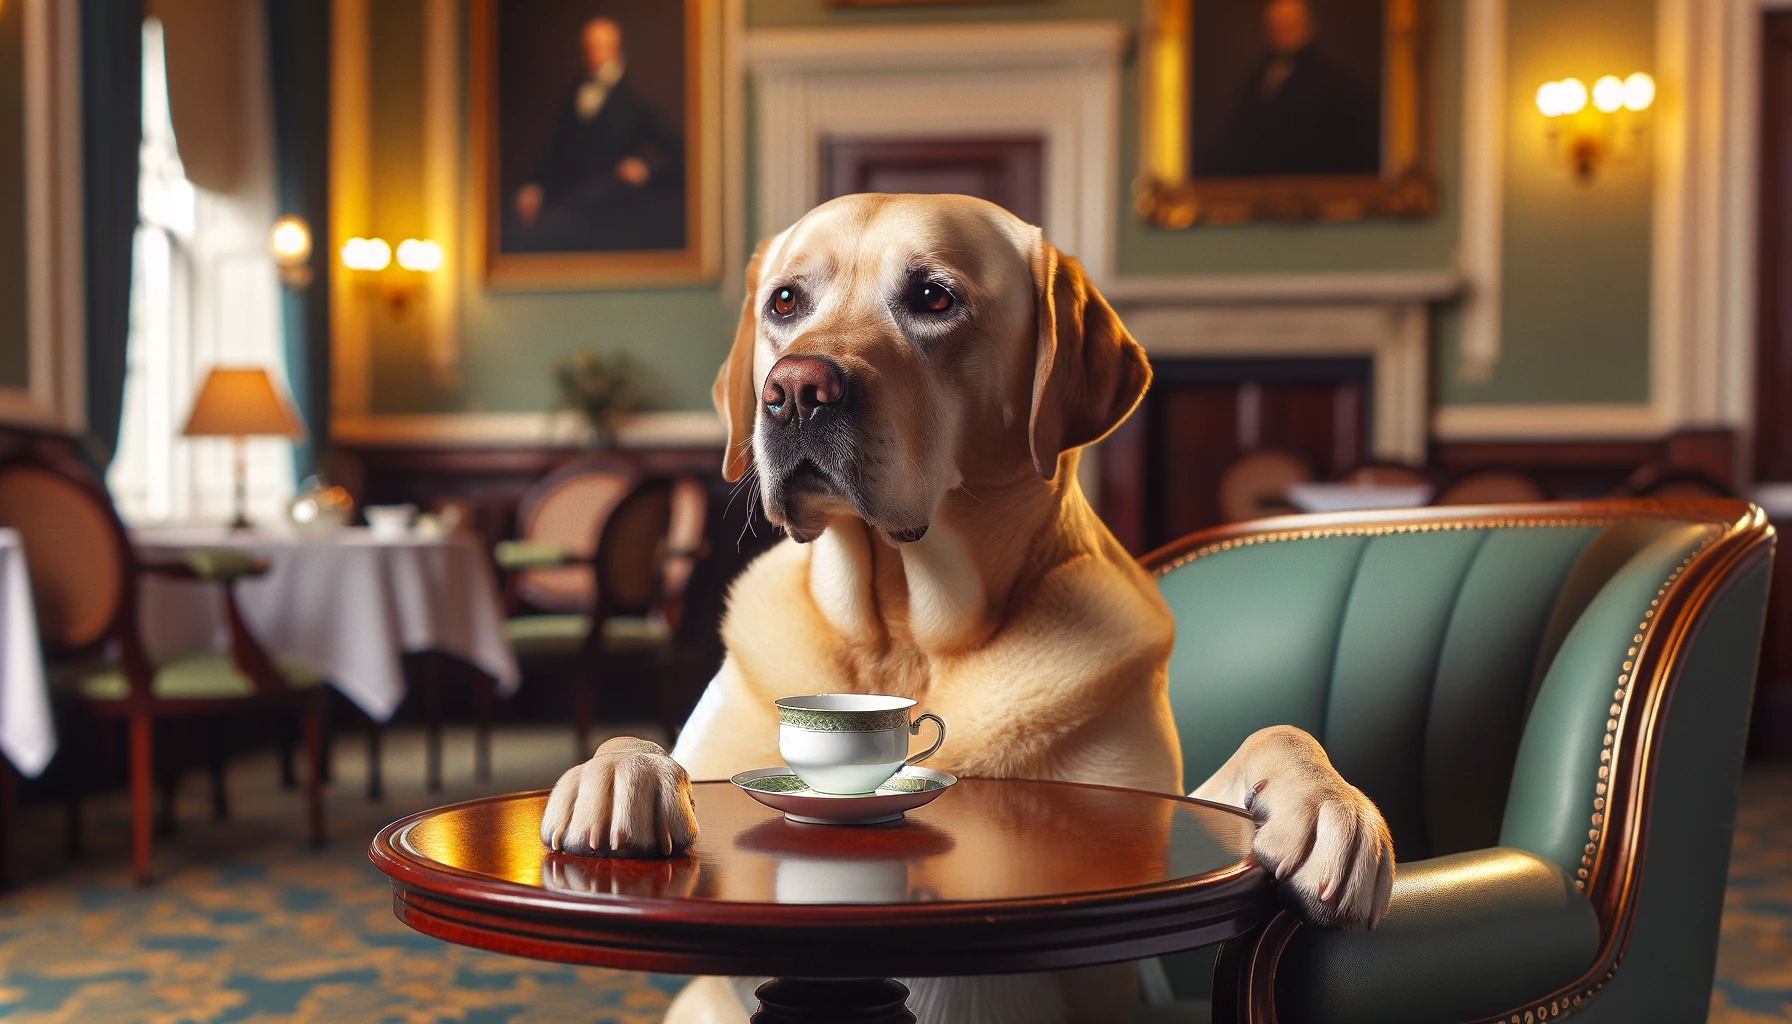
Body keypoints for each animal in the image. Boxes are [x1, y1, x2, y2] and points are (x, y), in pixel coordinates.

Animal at [537, 194, 1390, 1024]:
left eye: (932, 298)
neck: (904, 630)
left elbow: (1278, 736)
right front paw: (617, 772)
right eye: (785, 301)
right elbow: (640, 744)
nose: (793, 389)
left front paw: (1332, 807)